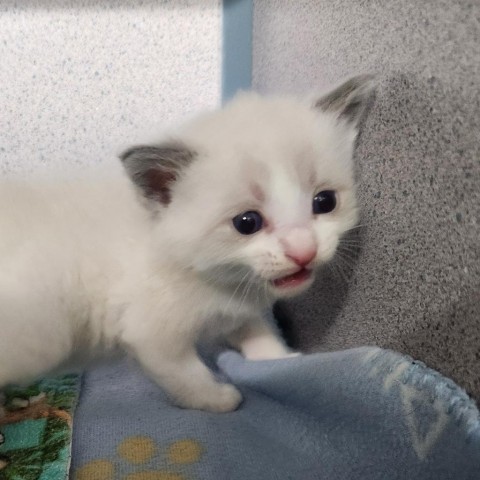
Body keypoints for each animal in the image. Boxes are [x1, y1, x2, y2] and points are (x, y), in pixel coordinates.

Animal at [0, 75, 376, 412]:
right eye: (247, 223)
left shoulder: (235, 309)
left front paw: (280, 359)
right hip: (44, 337)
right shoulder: (151, 334)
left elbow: (259, 333)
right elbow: (187, 376)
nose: (303, 250)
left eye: (325, 202)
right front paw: (220, 400)